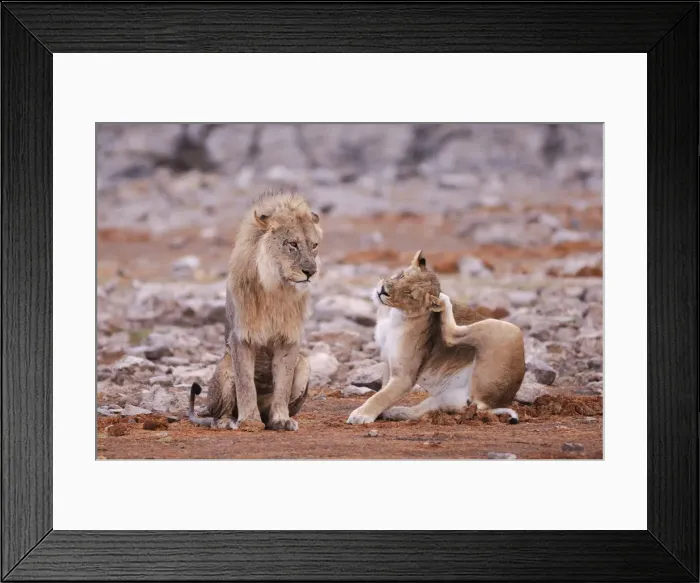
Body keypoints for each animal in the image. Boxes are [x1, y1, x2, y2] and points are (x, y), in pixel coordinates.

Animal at [189, 190, 322, 431]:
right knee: (218, 414)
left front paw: (281, 420)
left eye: (314, 245)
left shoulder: (288, 339)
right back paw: (228, 422)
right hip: (225, 368)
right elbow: (245, 385)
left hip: (304, 364)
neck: (277, 286)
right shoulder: (241, 336)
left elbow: (282, 385)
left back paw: (271, 421)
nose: (310, 272)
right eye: (292, 244)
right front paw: (249, 421)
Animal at [346, 250, 525, 425]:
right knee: (419, 411)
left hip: (508, 330)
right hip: (443, 398)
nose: (383, 290)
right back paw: (396, 412)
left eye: (409, 295)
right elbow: (384, 391)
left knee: (452, 335)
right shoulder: (387, 361)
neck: (391, 314)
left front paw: (361, 415)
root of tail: (493, 404)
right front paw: (378, 413)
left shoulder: (404, 376)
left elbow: (381, 396)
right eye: (402, 276)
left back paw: (443, 300)